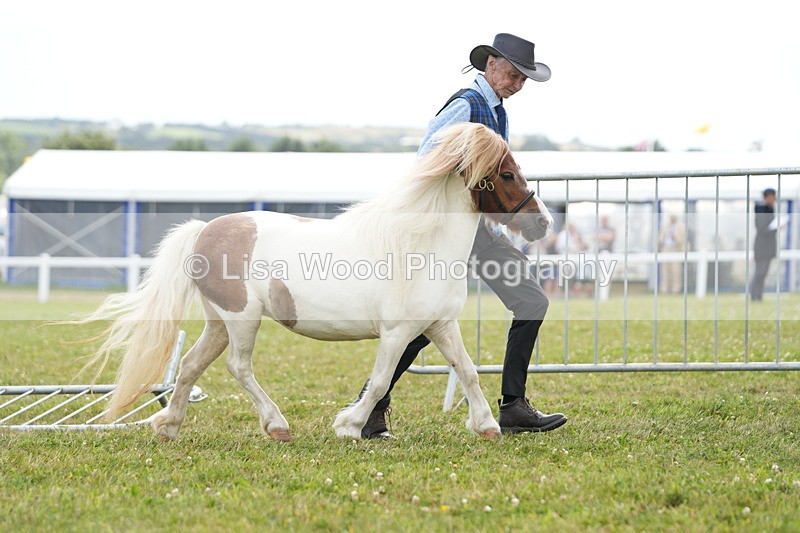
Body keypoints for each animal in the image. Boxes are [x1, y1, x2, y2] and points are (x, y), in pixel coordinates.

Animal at [82, 122, 553, 442]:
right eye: (507, 174)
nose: (544, 223)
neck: (421, 244)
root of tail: (203, 230)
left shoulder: (440, 324)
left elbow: (468, 370)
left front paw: (488, 426)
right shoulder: (397, 332)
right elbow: (380, 381)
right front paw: (349, 425)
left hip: (219, 322)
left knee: (192, 364)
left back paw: (168, 425)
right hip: (242, 319)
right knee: (238, 366)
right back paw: (277, 425)